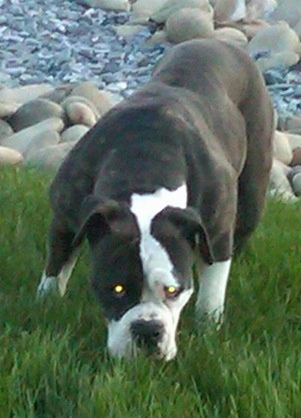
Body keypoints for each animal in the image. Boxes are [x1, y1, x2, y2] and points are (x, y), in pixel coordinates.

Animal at [36, 39, 274, 360]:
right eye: (117, 289)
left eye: (173, 291)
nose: (148, 330)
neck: (146, 164)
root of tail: (219, 41)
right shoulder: (66, 216)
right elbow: (56, 264)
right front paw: (46, 302)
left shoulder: (217, 232)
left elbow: (211, 291)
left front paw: (209, 327)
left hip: (252, 195)